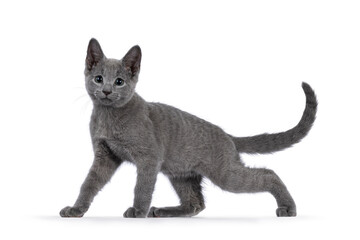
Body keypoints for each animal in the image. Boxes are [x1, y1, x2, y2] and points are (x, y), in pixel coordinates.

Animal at [59, 38, 318, 218]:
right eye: (99, 78)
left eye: (119, 81)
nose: (106, 91)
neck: (108, 117)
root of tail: (227, 135)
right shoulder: (105, 155)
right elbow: (89, 183)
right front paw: (76, 209)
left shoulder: (149, 158)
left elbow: (142, 187)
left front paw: (138, 211)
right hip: (181, 174)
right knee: (196, 204)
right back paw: (163, 211)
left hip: (224, 174)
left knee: (268, 174)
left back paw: (288, 208)